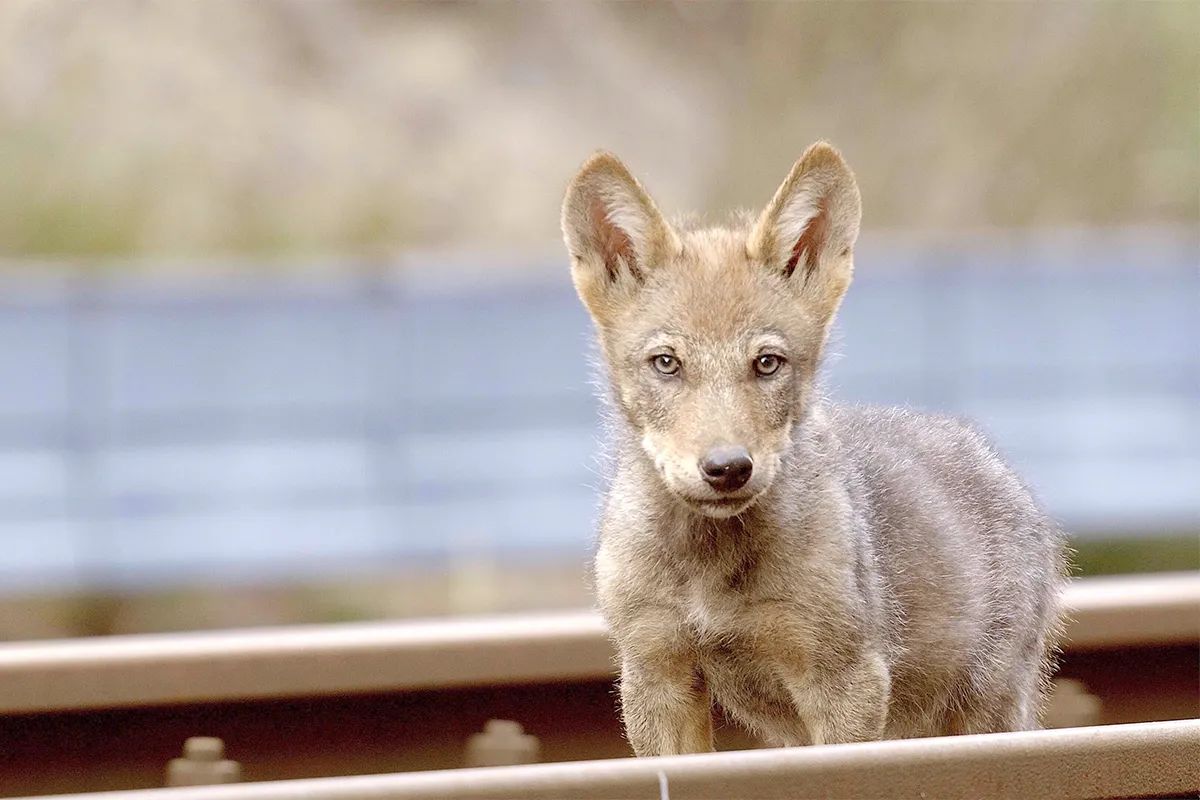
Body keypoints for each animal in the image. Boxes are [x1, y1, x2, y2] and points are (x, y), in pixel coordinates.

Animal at [559, 141, 1069, 756]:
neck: (711, 575)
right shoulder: (657, 670)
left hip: (982, 712)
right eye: (666, 362)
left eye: (767, 363)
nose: (727, 468)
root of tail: (995, 462)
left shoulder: (842, 680)